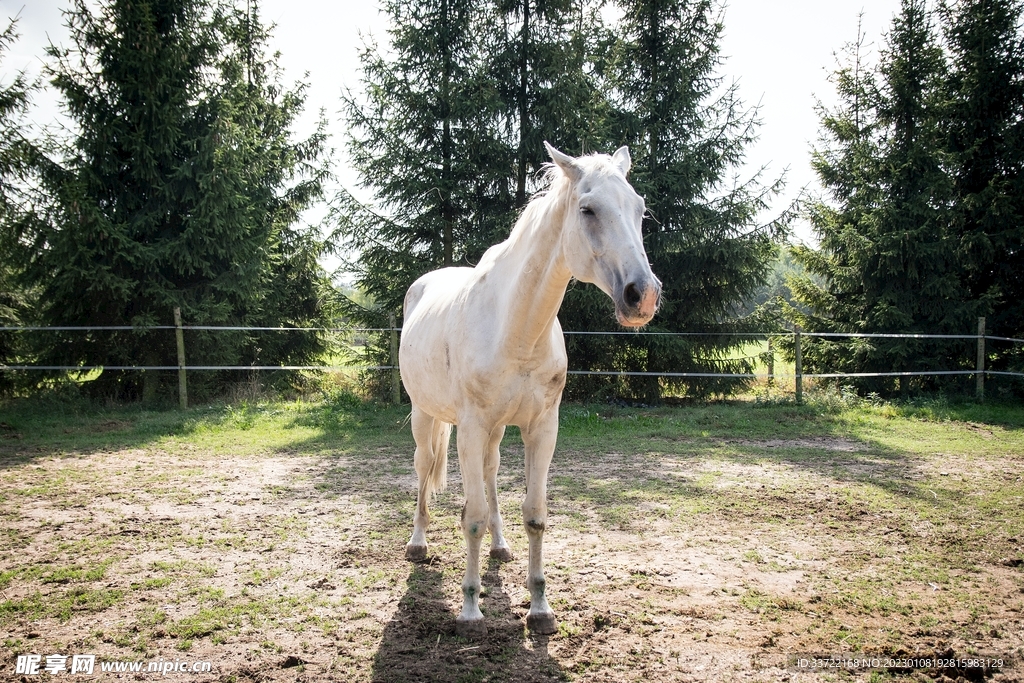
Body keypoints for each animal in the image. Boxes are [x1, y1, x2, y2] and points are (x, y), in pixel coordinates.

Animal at [398, 142, 661, 638]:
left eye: (640, 210)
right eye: (587, 209)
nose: (643, 295)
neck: (517, 328)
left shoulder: (542, 428)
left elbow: (534, 514)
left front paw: (540, 608)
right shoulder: (471, 427)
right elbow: (472, 518)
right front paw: (470, 611)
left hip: (497, 432)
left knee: (491, 474)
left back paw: (500, 546)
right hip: (427, 416)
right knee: (424, 470)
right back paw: (418, 544)